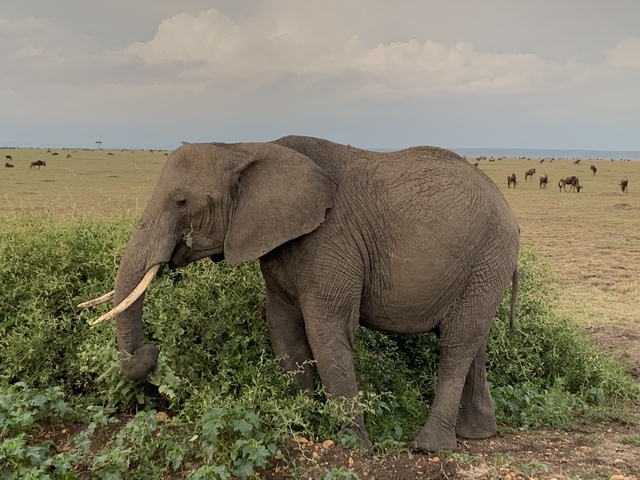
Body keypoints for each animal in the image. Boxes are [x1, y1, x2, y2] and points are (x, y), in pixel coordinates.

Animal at [81, 136, 520, 452]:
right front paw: (300, 425)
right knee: (473, 341)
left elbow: (327, 333)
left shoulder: (330, 241)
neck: (243, 148)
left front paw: (353, 449)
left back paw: (431, 448)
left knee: (457, 343)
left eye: (182, 201)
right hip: (483, 268)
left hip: (488, 256)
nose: (151, 351)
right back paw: (478, 435)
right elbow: (284, 331)